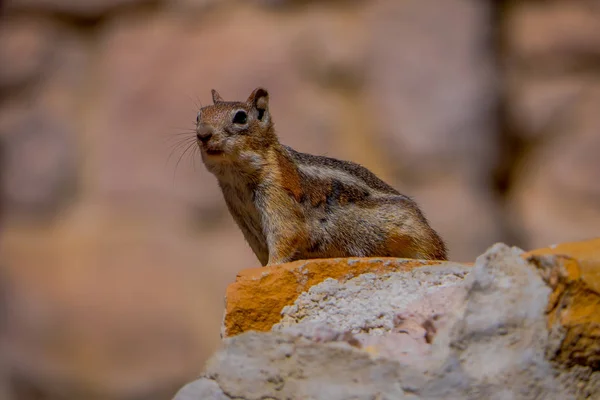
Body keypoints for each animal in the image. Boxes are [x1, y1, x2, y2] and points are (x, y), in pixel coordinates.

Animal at [195, 86, 448, 266]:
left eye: (240, 117)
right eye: (198, 115)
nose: (203, 134)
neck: (236, 179)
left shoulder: (279, 201)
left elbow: (285, 237)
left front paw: (270, 267)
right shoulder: (247, 225)